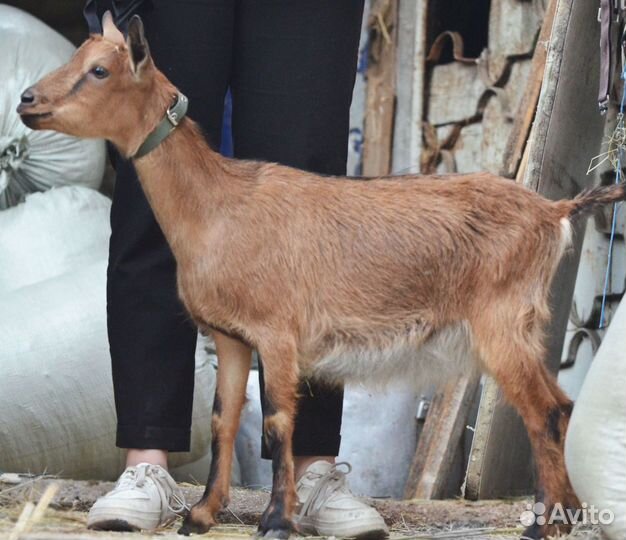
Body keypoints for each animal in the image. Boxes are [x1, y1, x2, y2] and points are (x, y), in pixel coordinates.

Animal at [18, 12, 624, 540]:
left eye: (101, 69)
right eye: (78, 55)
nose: (27, 101)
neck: (216, 206)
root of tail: (554, 211)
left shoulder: (278, 332)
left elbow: (279, 422)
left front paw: (276, 521)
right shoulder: (231, 336)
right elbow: (222, 421)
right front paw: (201, 515)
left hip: (503, 322)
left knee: (546, 413)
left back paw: (545, 524)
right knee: (562, 408)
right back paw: (569, 516)